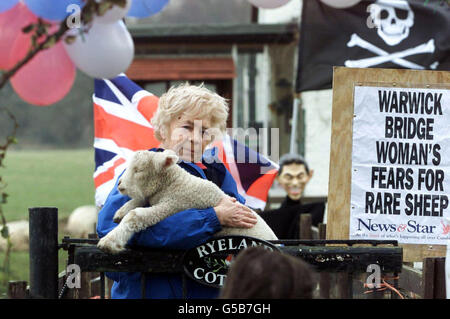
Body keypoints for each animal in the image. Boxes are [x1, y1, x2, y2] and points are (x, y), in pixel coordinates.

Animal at [96, 150, 276, 255]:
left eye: (139, 170)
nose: (119, 184)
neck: (175, 183)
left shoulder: (173, 205)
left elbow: (137, 216)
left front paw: (109, 241)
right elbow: (140, 199)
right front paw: (120, 212)